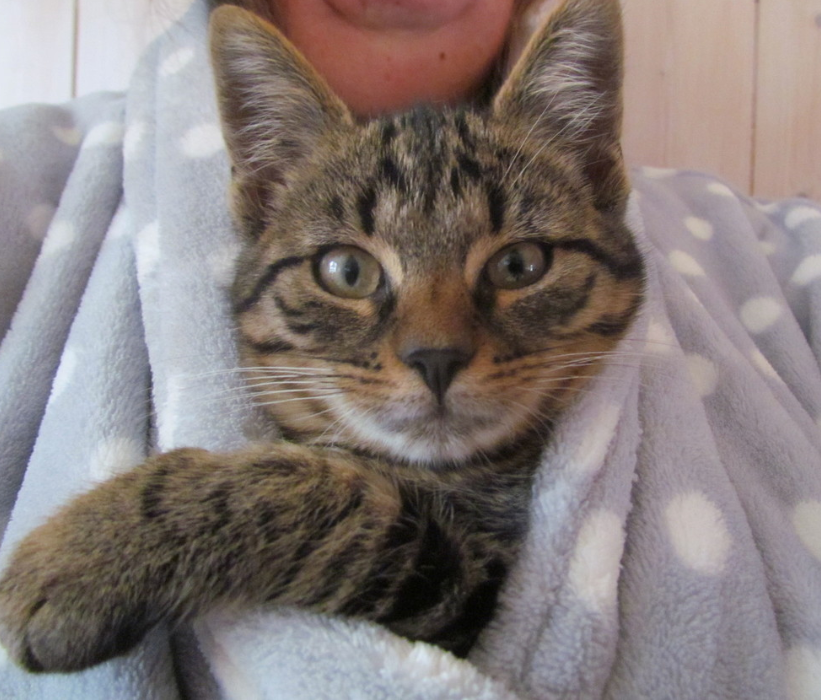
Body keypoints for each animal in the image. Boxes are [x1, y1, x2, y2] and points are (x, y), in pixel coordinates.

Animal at [0, 0, 640, 672]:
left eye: (519, 265)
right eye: (347, 271)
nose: (436, 357)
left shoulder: (472, 582)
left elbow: (326, 492)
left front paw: (91, 550)